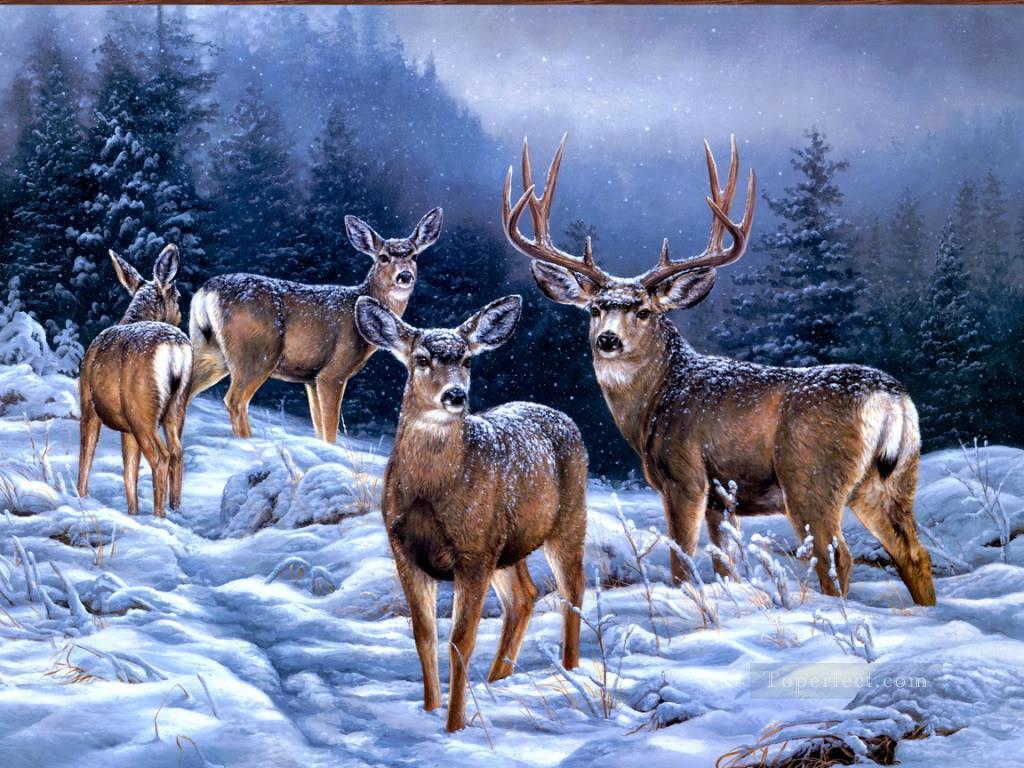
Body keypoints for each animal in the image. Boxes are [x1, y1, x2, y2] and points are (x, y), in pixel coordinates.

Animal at [78, 244, 192, 518]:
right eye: (179, 297)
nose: (181, 315)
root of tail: (174, 348)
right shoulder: (126, 428)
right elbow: (129, 471)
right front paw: (133, 513)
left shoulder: (88, 405)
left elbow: (87, 457)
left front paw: (80, 497)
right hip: (176, 406)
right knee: (177, 452)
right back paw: (174, 511)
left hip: (141, 410)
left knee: (161, 457)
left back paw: (160, 517)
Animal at [188, 208, 443, 443]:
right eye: (383, 257)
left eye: (414, 256)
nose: (405, 276)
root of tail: (205, 292)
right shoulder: (332, 372)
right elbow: (330, 430)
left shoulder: (310, 377)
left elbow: (318, 427)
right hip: (256, 353)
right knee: (235, 400)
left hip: (210, 351)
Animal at [353, 294, 587, 732]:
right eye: (422, 359)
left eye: (466, 359)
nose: (455, 396)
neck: (430, 495)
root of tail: (559, 414)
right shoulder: (403, 550)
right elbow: (424, 636)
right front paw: (429, 710)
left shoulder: (473, 553)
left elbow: (460, 642)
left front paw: (455, 727)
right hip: (506, 545)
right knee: (525, 596)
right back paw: (499, 680)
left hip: (566, 519)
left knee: (573, 590)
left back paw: (569, 670)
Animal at [503, 135, 935, 606]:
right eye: (596, 309)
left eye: (643, 311)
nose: (608, 340)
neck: (658, 401)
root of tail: (891, 398)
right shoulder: (722, 500)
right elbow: (725, 566)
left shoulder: (686, 477)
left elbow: (682, 565)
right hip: (893, 479)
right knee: (914, 554)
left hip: (811, 478)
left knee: (837, 555)